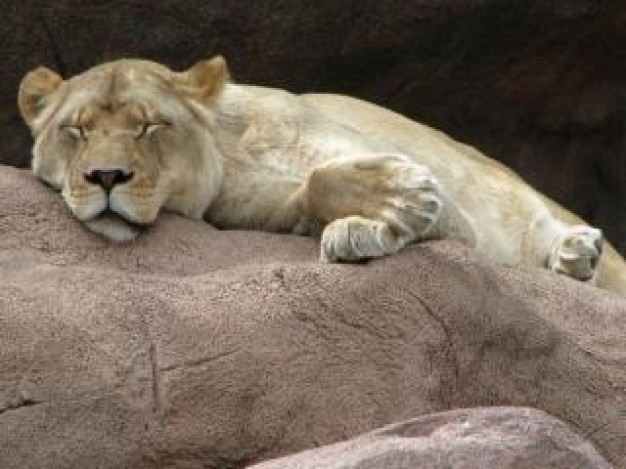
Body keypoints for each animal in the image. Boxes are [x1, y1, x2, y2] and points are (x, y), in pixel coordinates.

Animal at [17, 56, 620, 294]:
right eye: (76, 130)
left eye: (148, 126)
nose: (106, 176)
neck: (233, 150)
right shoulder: (258, 211)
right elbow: (312, 189)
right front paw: (370, 227)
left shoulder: (458, 208)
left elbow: (328, 174)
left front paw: (404, 199)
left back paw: (575, 252)